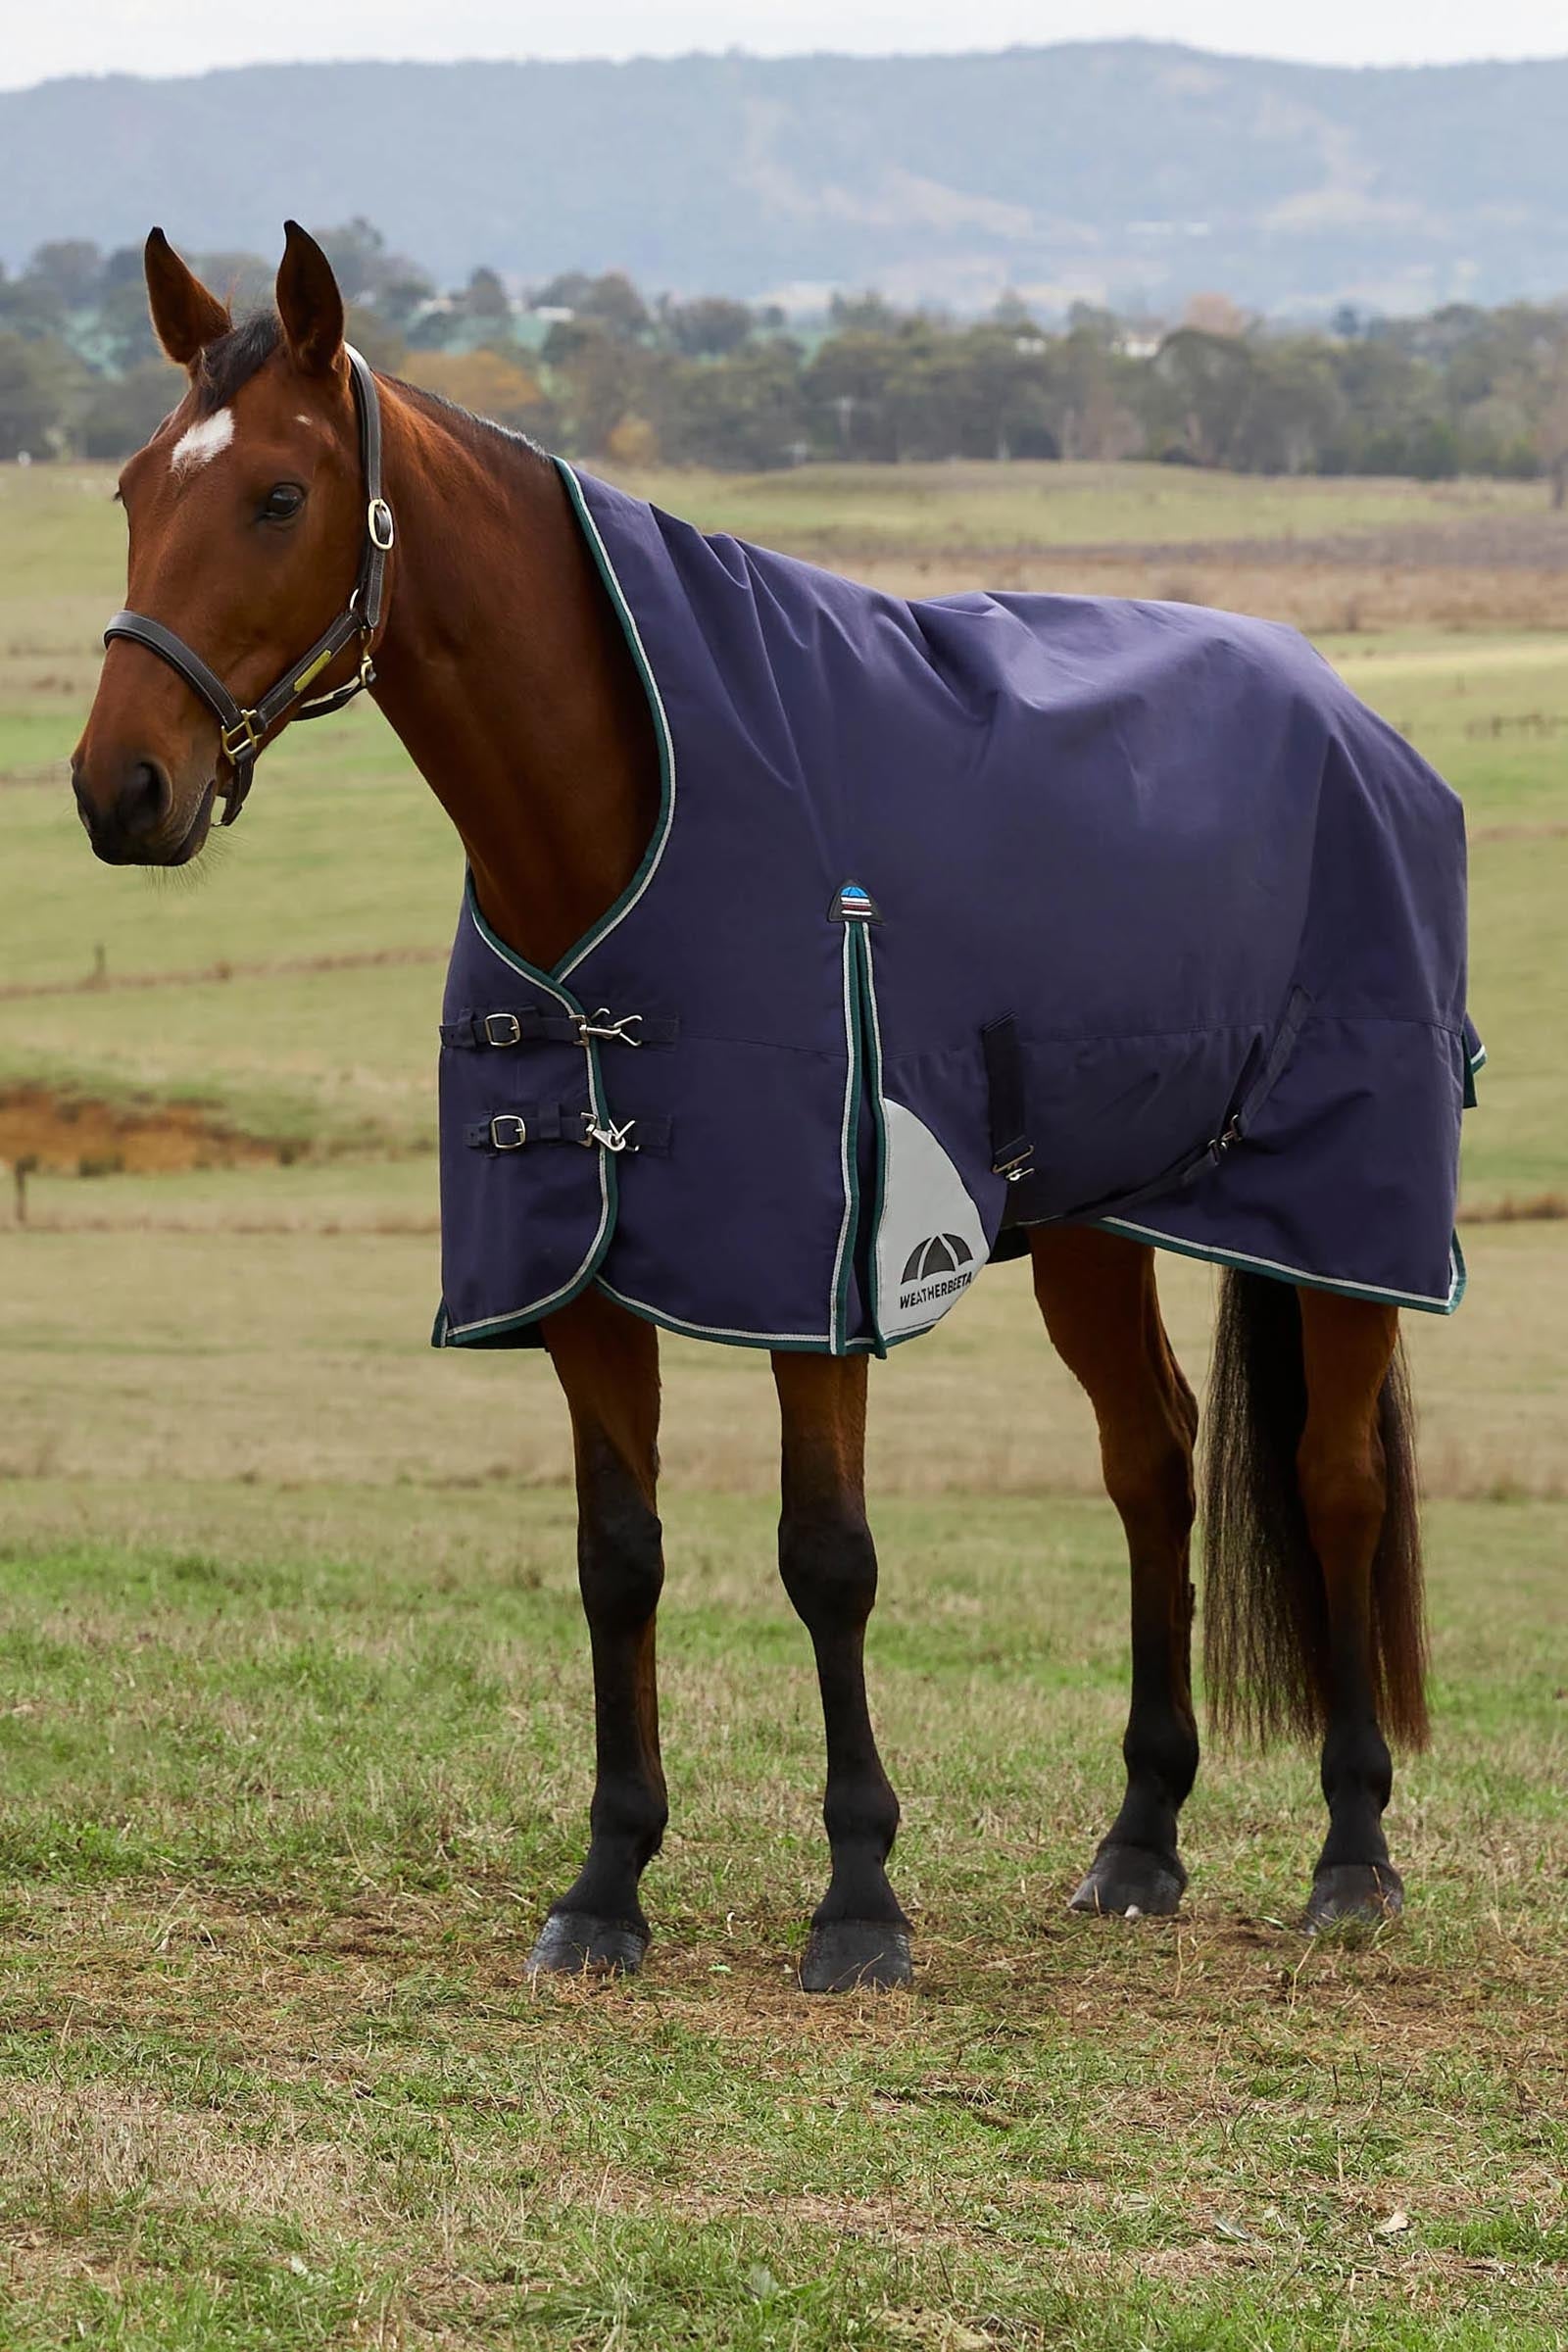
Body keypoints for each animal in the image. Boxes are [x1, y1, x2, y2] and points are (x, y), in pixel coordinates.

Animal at [71, 224, 1458, 1993]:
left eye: (276, 497)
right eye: (130, 490)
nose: (119, 789)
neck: (628, 819)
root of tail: (1348, 716)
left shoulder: (823, 1274)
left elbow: (829, 1560)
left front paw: (860, 1901)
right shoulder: (583, 1276)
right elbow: (618, 1559)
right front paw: (606, 1885)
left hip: (1342, 1218)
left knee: (1336, 1482)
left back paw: (1354, 1857)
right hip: (1093, 1223)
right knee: (1154, 1463)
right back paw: (1141, 1840)